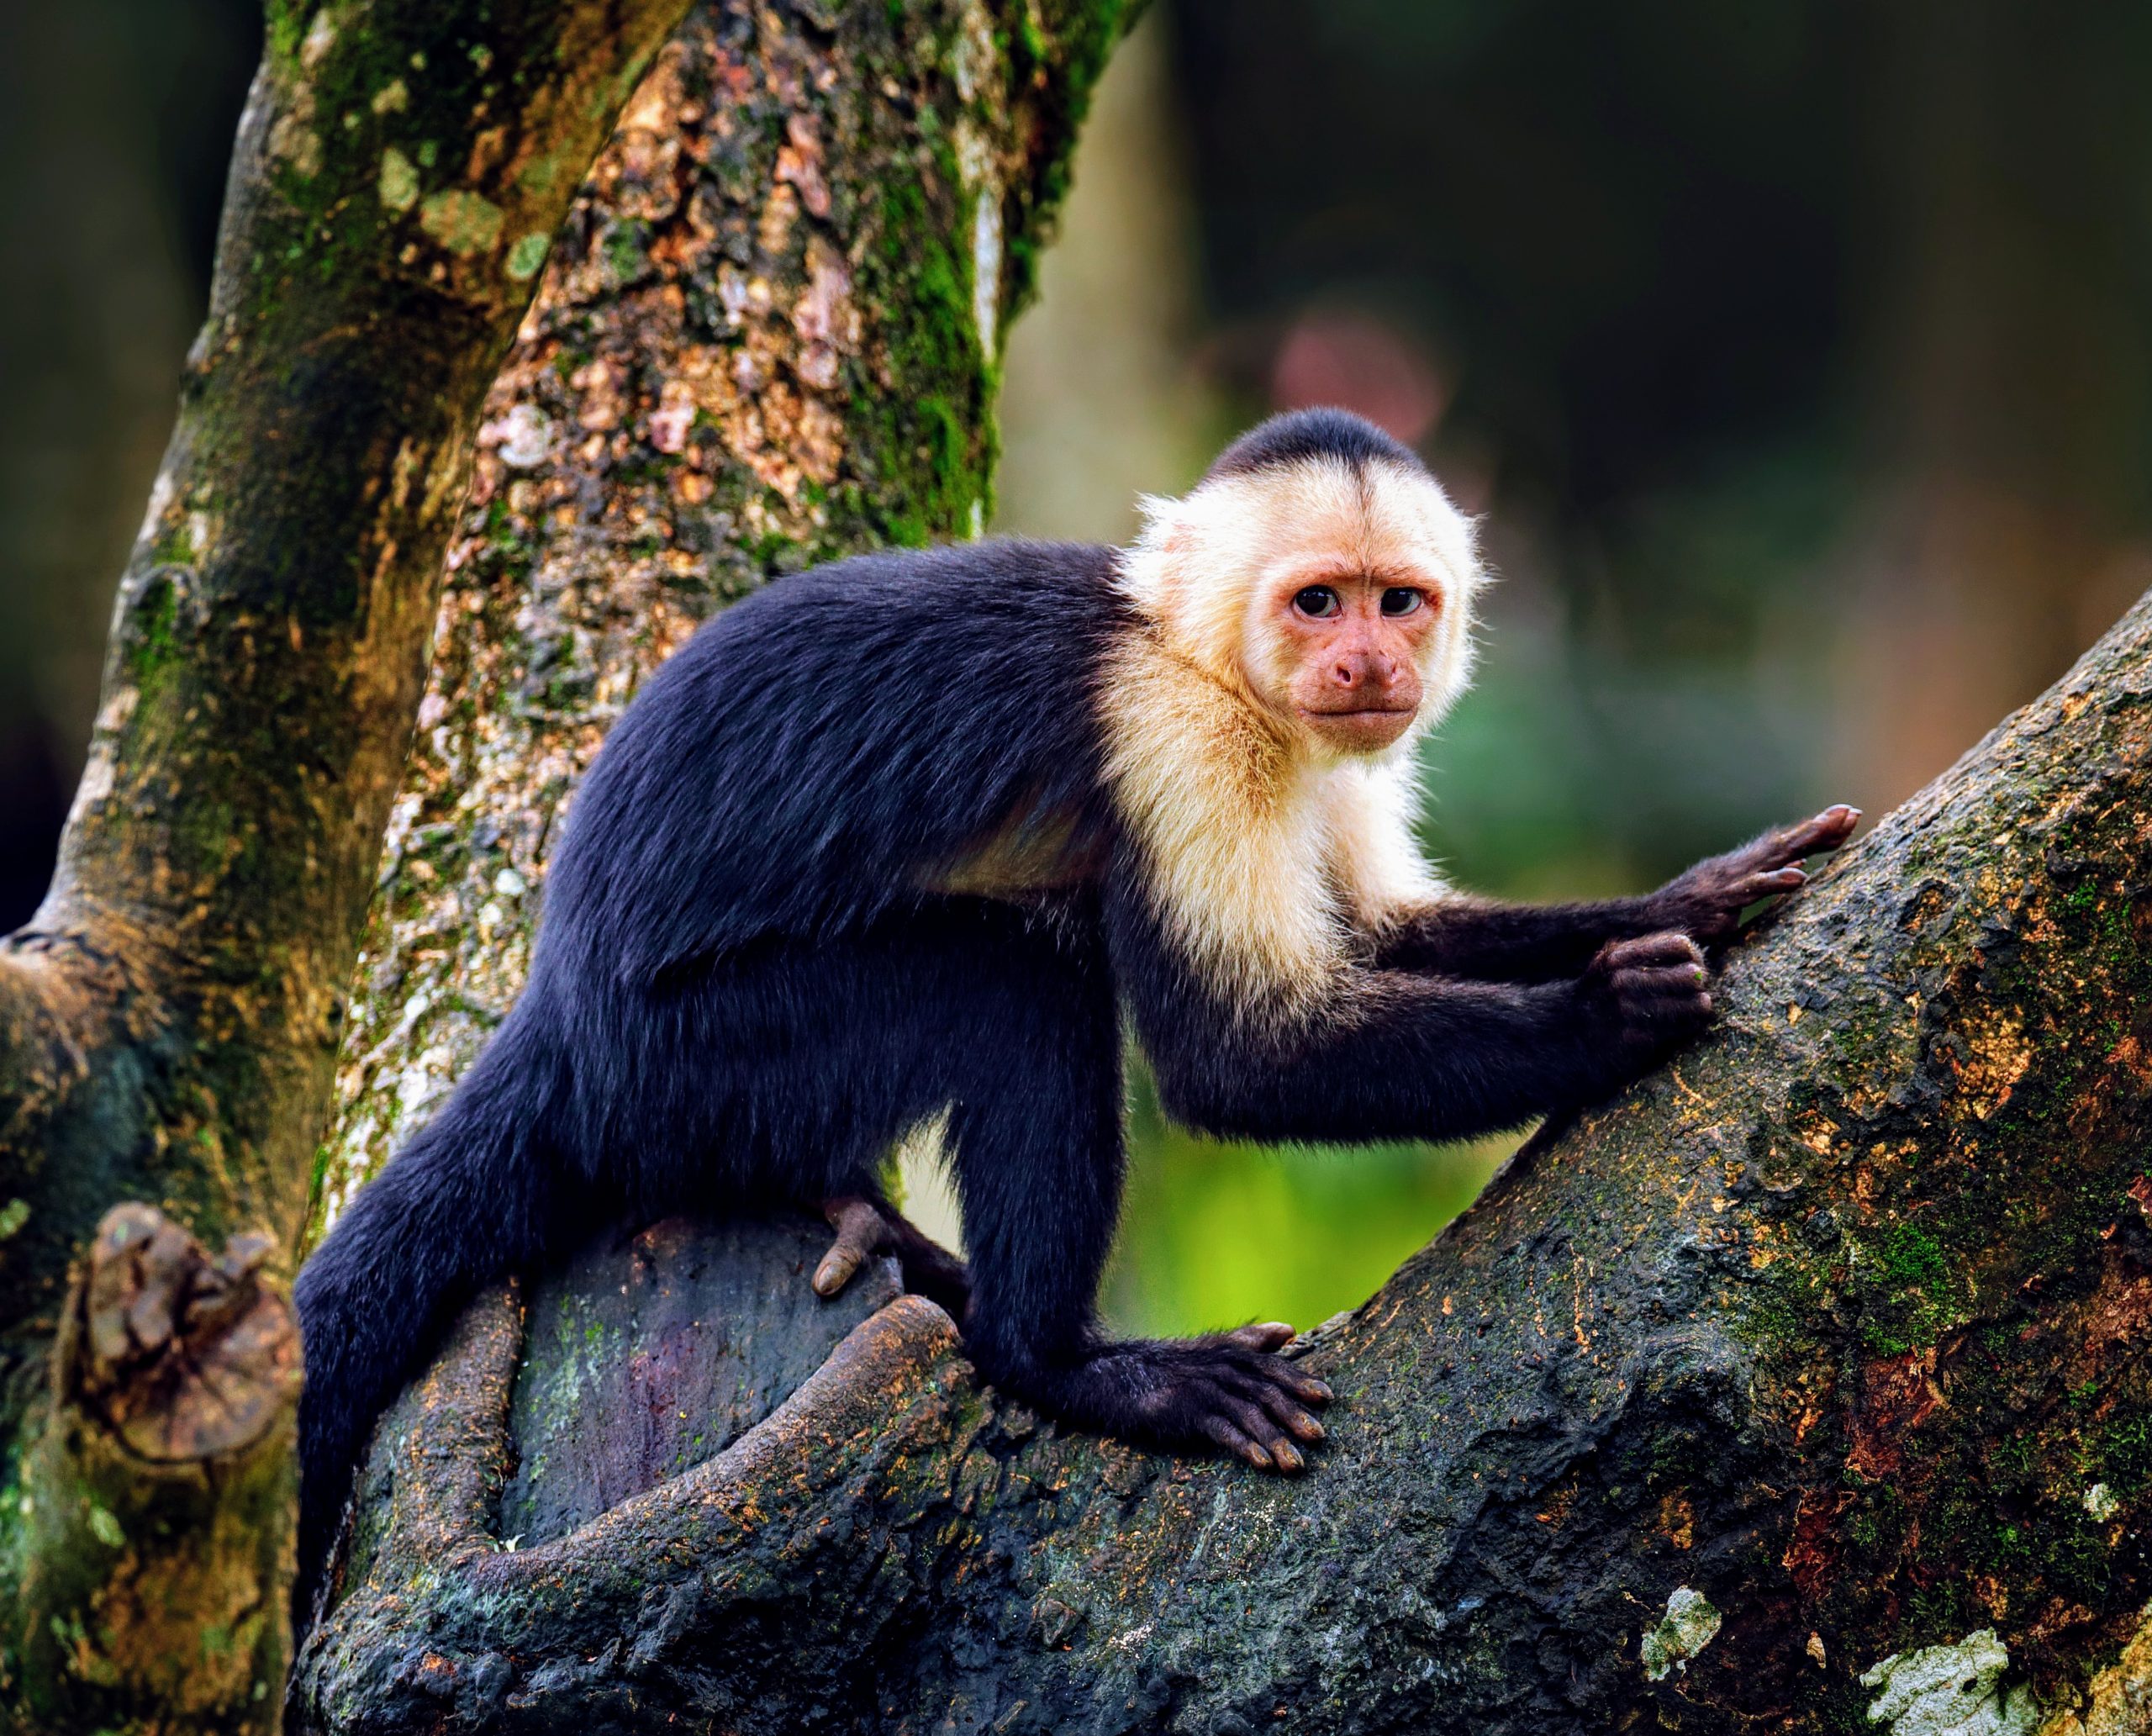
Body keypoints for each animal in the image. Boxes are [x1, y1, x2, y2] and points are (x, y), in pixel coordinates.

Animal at [293, 407, 1855, 1611]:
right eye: (1318, 602)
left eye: (1398, 598)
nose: (1371, 664)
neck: (1191, 650)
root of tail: (556, 1006)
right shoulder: (1174, 741)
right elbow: (1238, 1062)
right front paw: (1607, 1016)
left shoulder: (1326, 753)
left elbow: (1388, 931)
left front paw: (1698, 893)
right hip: (683, 1047)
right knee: (1021, 994)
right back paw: (1058, 1363)